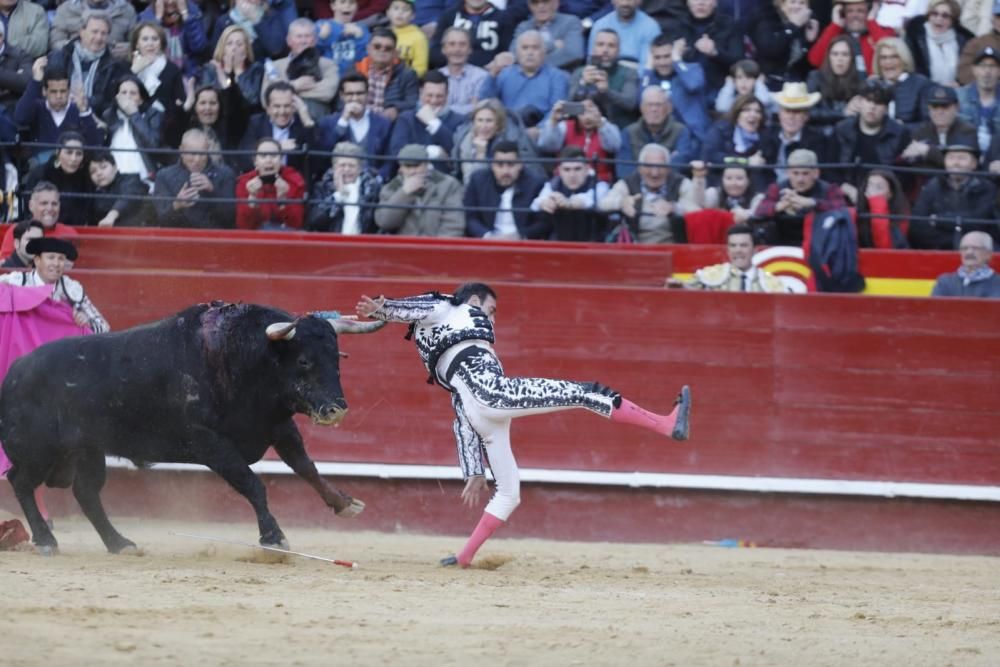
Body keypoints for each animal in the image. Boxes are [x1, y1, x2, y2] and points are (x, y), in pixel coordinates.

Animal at [0, 302, 384, 552]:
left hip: (87, 451)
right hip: (39, 451)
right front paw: (274, 537)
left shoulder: (277, 426)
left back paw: (120, 543)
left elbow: (306, 467)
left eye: (336, 359)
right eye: (303, 360)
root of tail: (15, 371)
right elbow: (252, 484)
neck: (242, 357)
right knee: (21, 482)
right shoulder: (209, 442)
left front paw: (344, 502)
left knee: (86, 492)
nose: (335, 410)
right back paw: (47, 541)